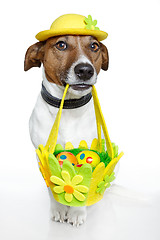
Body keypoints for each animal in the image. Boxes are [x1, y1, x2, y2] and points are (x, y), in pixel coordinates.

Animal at [24, 34, 109, 226]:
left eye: (94, 46)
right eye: (61, 44)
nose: (85, 70)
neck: (69, 106)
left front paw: (77, 212)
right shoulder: (42, 156)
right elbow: (52, 187)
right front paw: (59, 209)